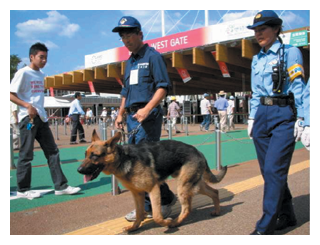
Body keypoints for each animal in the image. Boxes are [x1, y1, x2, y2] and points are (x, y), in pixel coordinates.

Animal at [78, 130, 228, 232]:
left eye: (94, 156)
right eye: (85, 154)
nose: (79, 170)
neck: (123, 159)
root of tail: (198, 152)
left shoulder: (153, 189)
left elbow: (156, 216)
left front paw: (166, 222)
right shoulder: (137, 194)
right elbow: (139, 213)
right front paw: (134, 227)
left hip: (183, 187)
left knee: (186, 209)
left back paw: (175, 223)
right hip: (193, 184)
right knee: (214, 192)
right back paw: (217, 211)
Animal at [113, 16, 178, 221]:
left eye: (129, 32)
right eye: (122, 34)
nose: (125, 38)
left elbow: (161, 84)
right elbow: (125, 90)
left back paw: (165, 203)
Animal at [246, 10, 306, 234]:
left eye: (262, 27)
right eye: (257, 29)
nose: (257, 35)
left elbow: (274, 172)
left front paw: (263, 226)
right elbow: (256, 95)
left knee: (272, 170)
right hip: (262, 139)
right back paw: (285, 219)